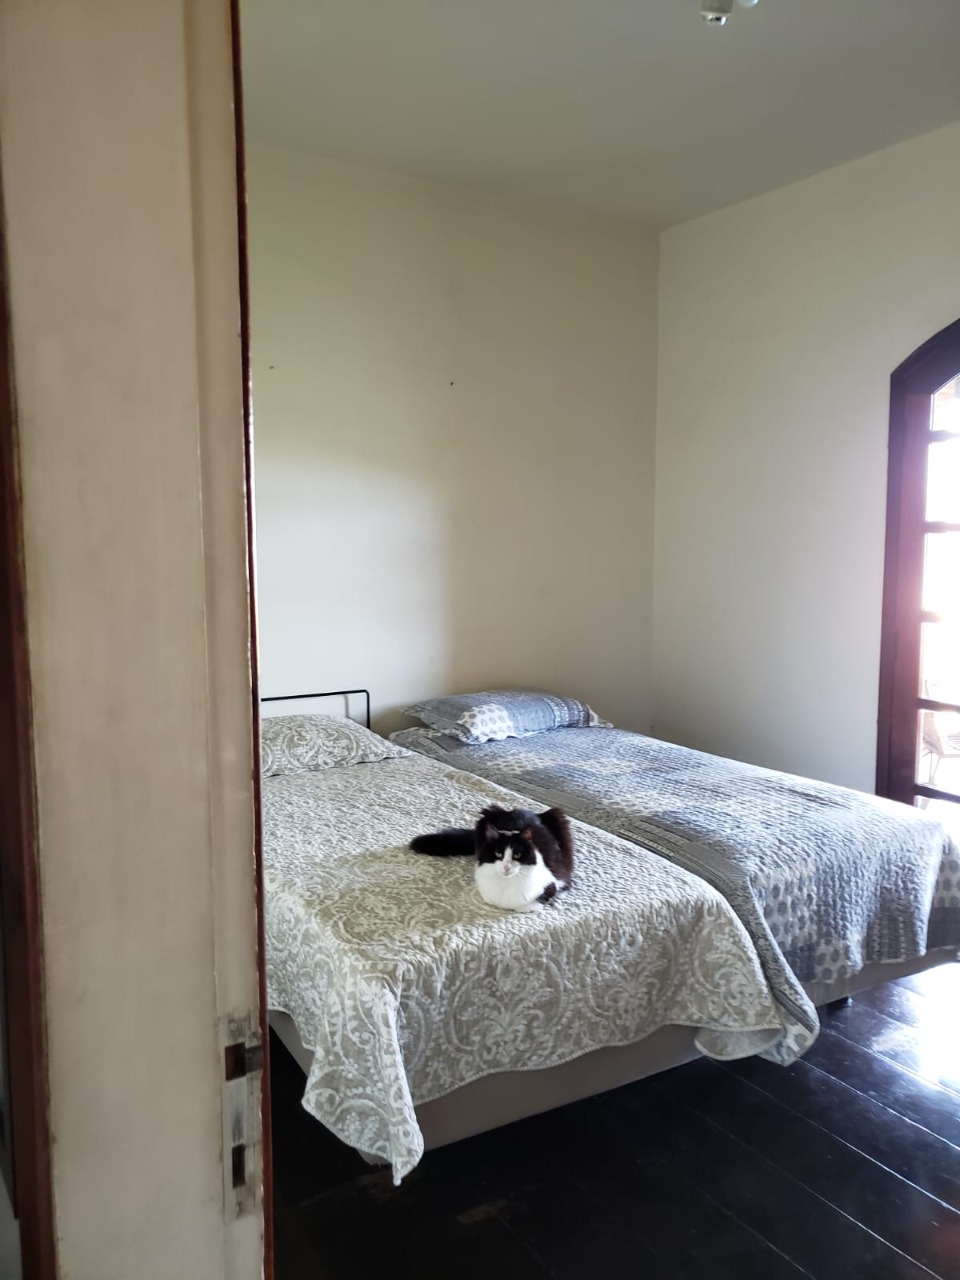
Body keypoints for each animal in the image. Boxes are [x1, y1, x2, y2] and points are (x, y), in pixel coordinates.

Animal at [409, 804, 574, 912]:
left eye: (517, 855)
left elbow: (528, 905)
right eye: (498, 854)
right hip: (484, 819)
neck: (506, 885)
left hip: (559, 819)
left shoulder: (554, 883)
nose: (507, 867)